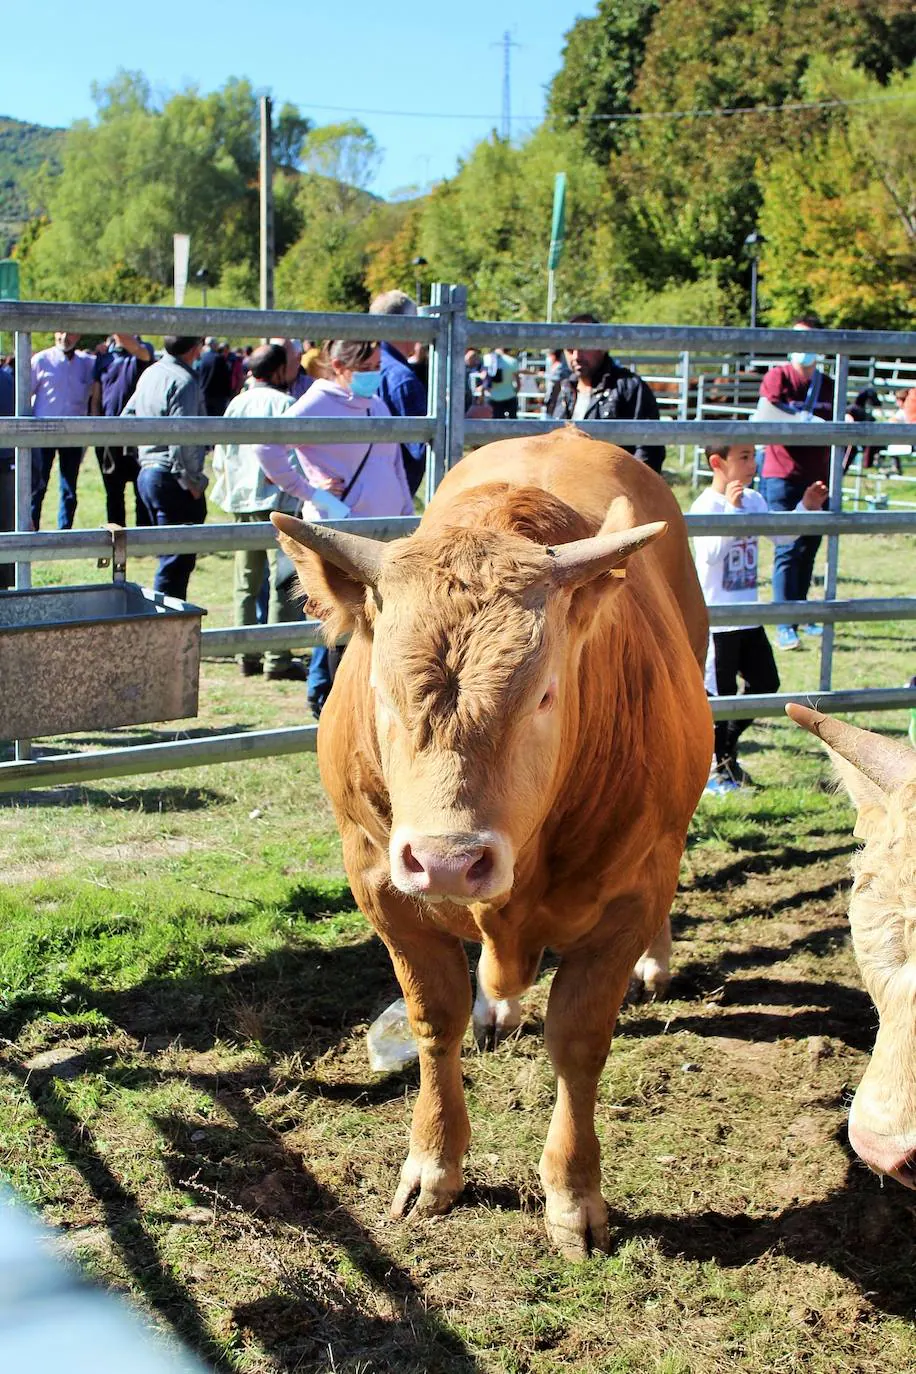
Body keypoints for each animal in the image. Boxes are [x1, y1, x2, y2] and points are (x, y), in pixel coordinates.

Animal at [276, 428, 714, 1258]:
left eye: (544, 693)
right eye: (379, 690)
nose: (448, 859)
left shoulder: (630, 891)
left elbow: (579, 1040)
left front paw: (574, 1197)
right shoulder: (380, 883)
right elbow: (434, 1018)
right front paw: (432, 1165)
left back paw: (653, 964)